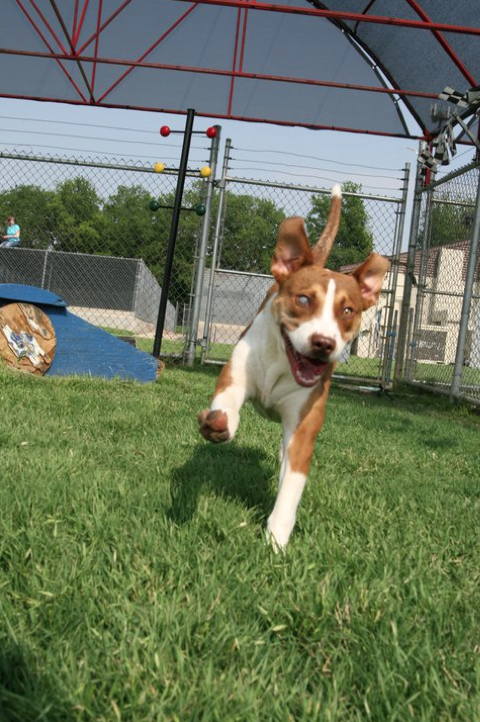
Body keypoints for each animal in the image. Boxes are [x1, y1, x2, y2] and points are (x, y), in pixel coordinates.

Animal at [199, 186, 390, 552]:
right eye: (303, 299)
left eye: (348, 310)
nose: (323, 343)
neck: (283, 364)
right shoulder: (236, 374)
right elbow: (226, 401)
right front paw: (220, 423)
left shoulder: (304, 425)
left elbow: (291, 486)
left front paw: (276, 540)